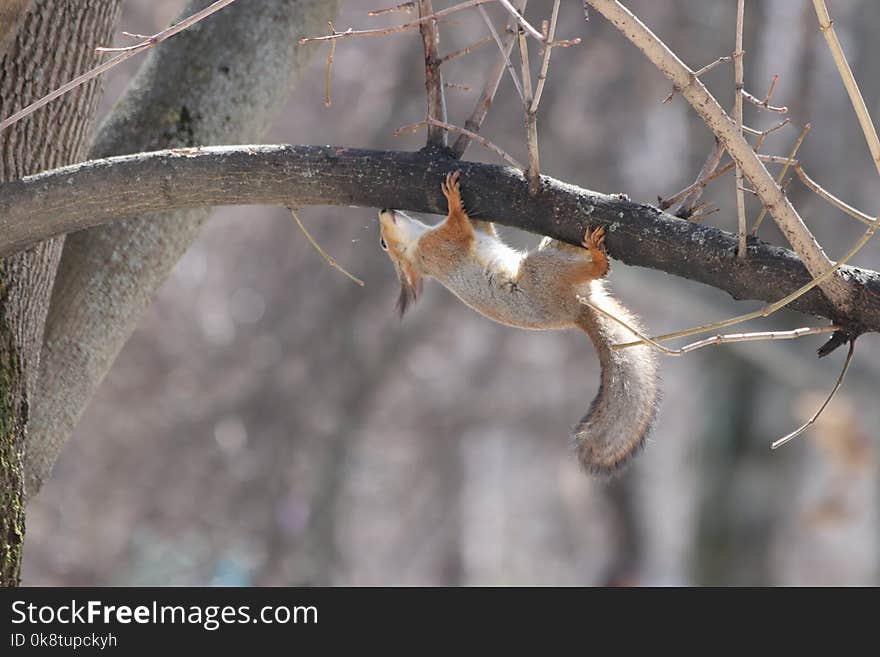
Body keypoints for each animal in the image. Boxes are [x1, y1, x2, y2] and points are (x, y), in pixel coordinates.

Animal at [378, 172, 660, 474]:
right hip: (541, 271)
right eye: (383, 244)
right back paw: (596, 256)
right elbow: (458, 228)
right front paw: (452, 199)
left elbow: (484, 230)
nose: (383, 209)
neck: (417, 244)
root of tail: (577, 311)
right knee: (592, 269)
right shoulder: (439, 247)